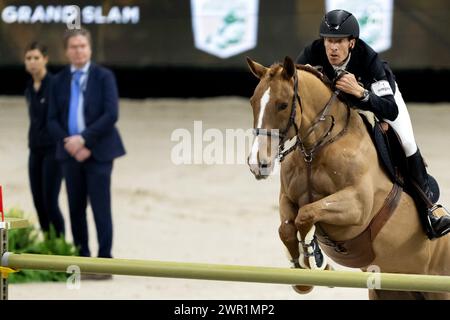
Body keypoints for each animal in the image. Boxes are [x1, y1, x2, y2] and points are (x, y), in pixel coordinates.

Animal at [246, 56, 450, 298]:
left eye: (283, 105)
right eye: (253, 102)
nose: (257, 163)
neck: (315, 150)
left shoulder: (357, 206)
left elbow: (306, 214)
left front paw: (313, 257)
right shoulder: (287, 197)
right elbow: (287, 227)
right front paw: (303, 271)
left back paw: (437, 220)